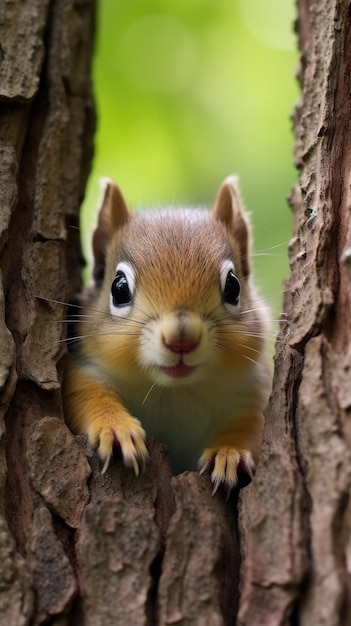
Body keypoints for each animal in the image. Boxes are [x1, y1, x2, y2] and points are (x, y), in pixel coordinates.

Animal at [63, 173, 272, 490]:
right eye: (118, 288)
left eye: (234, 286)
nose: (181, 338)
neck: (173, 392)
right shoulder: (84, 369)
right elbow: (87, 395)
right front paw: (116, 428)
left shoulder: (252, 394)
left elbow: (249, 427)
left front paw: (229, 453)